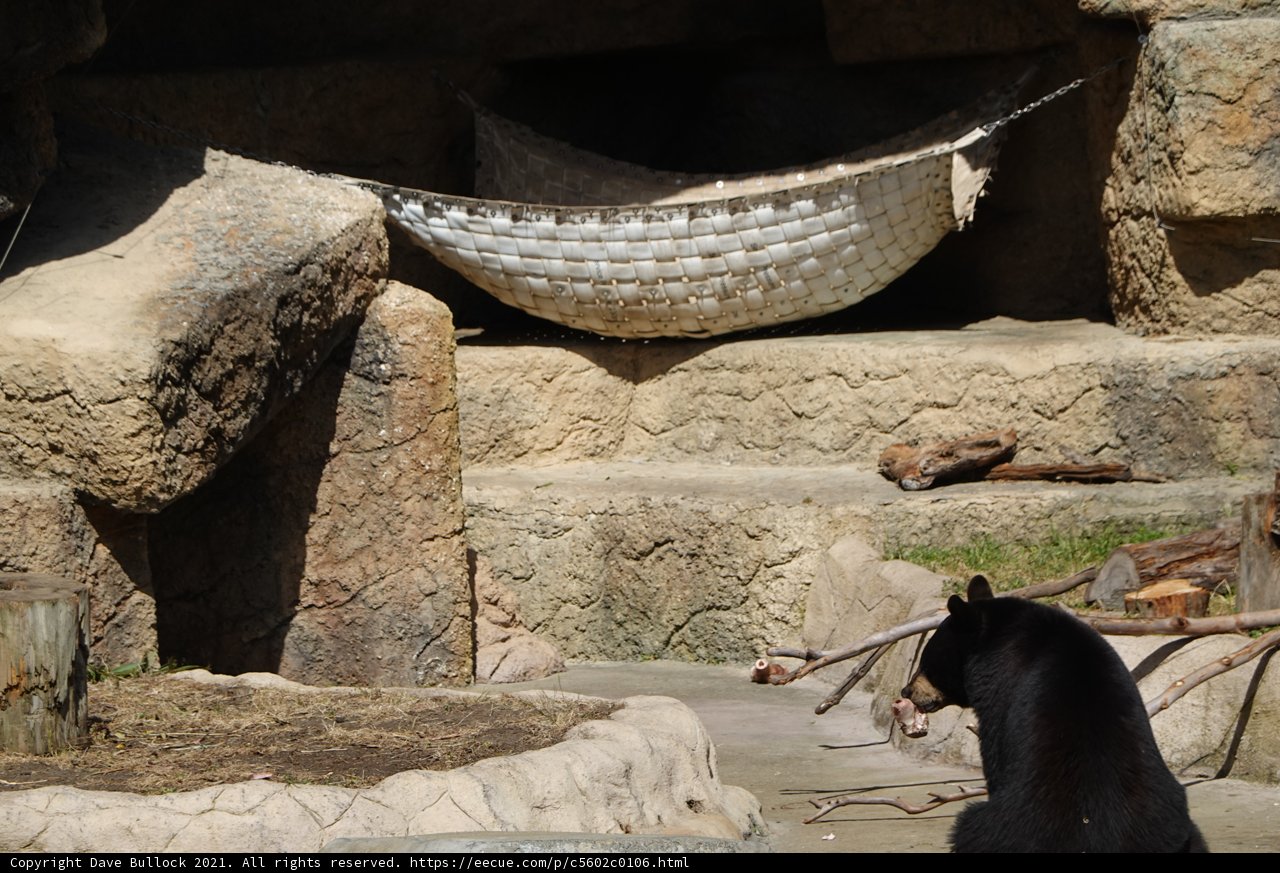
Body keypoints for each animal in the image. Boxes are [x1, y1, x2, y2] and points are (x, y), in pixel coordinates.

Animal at [902, 575, 1208, 853]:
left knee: (970, 827)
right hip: (1173, 826)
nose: (907, 690)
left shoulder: (1002, 697)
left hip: (1010, 826)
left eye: (926, 664)